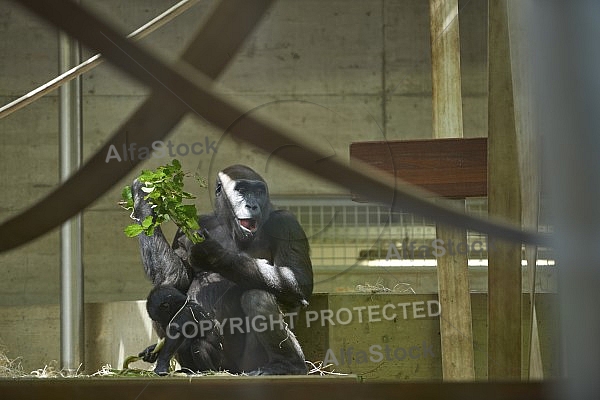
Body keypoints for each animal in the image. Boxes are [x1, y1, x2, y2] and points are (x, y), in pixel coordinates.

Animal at [132, 163, 314, 376]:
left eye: (258, 192)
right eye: (241, 190)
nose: (252, 205)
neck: (229, 225)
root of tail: (229, 371)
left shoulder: (286, 223)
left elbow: (296, 279)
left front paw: (211, 253)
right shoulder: (193, 225)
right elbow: (177, 279)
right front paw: (142, 197)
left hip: (245, 365)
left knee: (256, 297)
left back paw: (288, 365)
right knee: (163, 302)